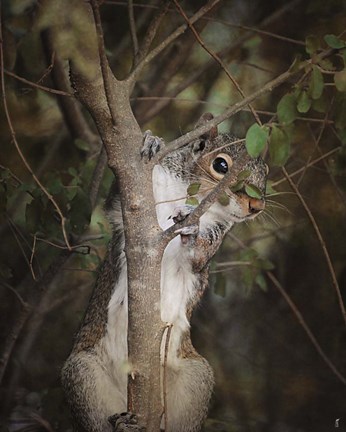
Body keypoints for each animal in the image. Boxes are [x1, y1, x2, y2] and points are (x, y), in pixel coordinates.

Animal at [61, 113, 268, 430]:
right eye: (221, 165)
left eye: (266, 174)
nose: (256, 206)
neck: (189, 198)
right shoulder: (132, 201)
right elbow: (114, 203)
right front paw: (153, 141)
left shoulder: (216, 235)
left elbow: (199, 258)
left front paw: (192, 229)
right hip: (83, 374)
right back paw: (119, 424)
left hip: (196, 379)